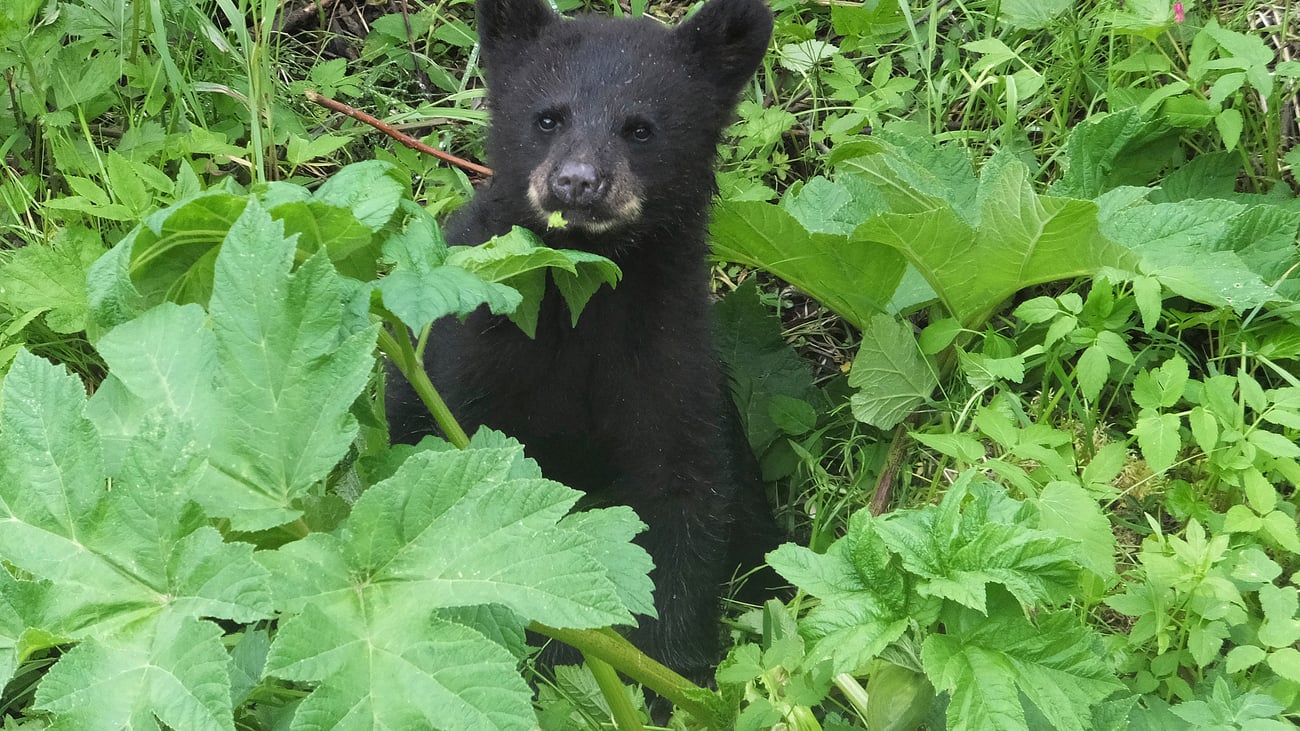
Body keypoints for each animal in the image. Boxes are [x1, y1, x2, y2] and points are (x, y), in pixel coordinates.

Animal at [386, 0, 777, 681]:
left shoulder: (669, 360)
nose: (577, 182)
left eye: (640, 128)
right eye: (548, 117)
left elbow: (685, 501)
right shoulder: (472, 359)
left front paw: (668, 673)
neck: (583, 296)